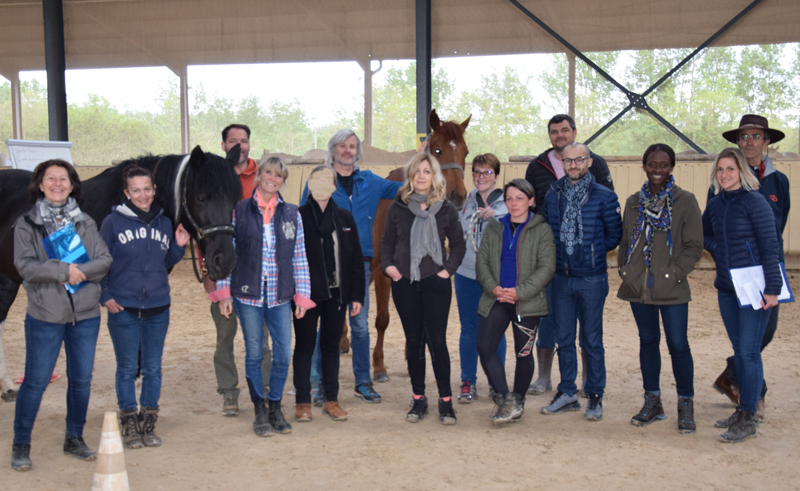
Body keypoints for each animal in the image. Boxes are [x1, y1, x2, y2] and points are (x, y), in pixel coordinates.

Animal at [336, 108, 468, 384]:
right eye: (437, 150)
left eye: (466, 151)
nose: (458, 196)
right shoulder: (385, 273)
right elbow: (383, 319)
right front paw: (379, 366)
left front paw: (411, 358)